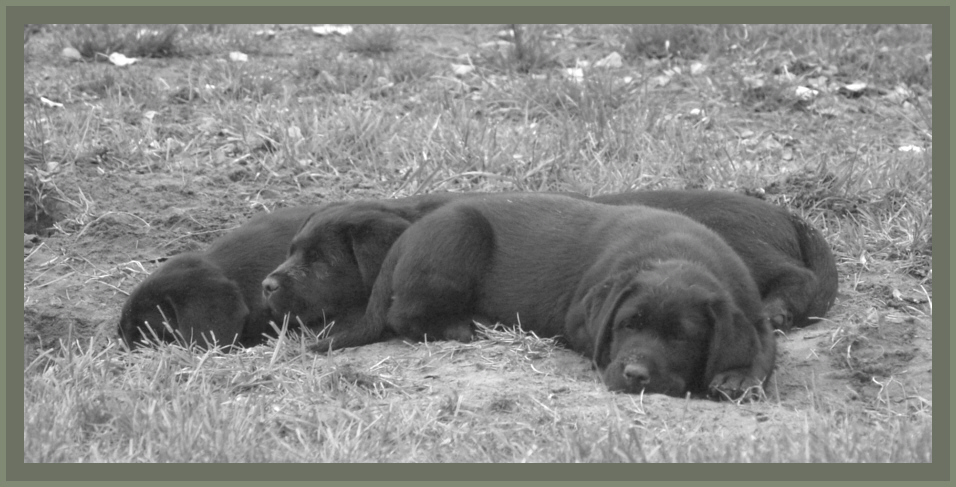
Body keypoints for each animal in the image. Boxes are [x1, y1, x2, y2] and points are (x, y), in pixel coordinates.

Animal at [310, 194, 772, 400]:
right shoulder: (581, 318)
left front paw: (738, 376)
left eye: (682, 338)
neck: (678, 254)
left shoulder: (755, 314)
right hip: (460, 232)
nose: (635, 374)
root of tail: (403, 239)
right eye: (628, 325)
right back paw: (465, 325)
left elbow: (763, 349)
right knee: (403, 315)